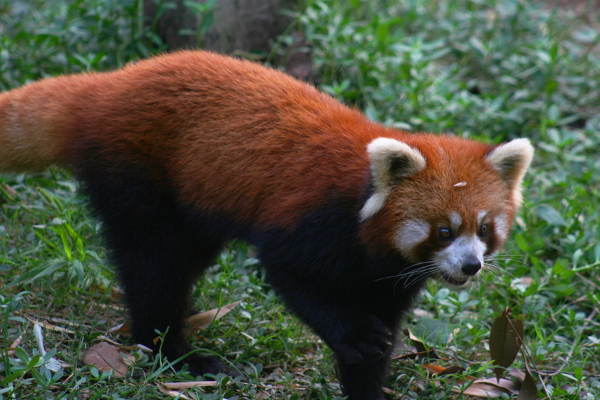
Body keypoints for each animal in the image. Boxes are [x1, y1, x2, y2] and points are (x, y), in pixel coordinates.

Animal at [0, 50, 536, 400]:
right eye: (443, 230)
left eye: (483, 230)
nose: (470, 266)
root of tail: (106, 85)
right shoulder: (311, 220)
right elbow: (292, 277)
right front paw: (357, 337)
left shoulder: (388, 274)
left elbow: (382, 320)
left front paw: (367, 383)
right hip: (136, 171)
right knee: (154, 267)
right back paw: (174, 352)